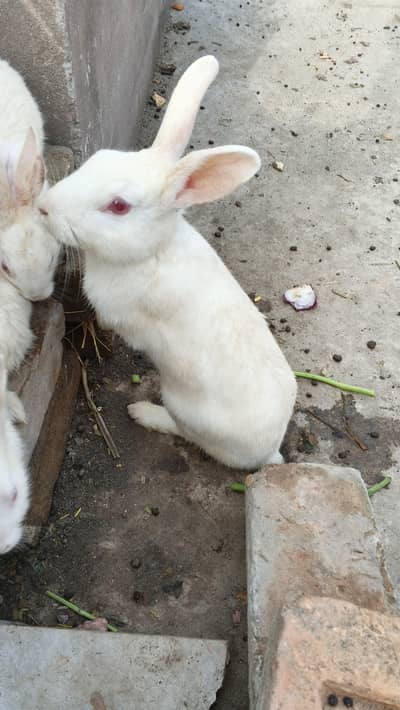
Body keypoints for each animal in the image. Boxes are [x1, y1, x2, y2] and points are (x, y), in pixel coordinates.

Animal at [39, 55, 297, 470]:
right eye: (97, 159)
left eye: (118, 206)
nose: (44, 207)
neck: (151, 253)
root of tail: (269, 450)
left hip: (184, 407)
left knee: (187, 433)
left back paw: (143, 412)